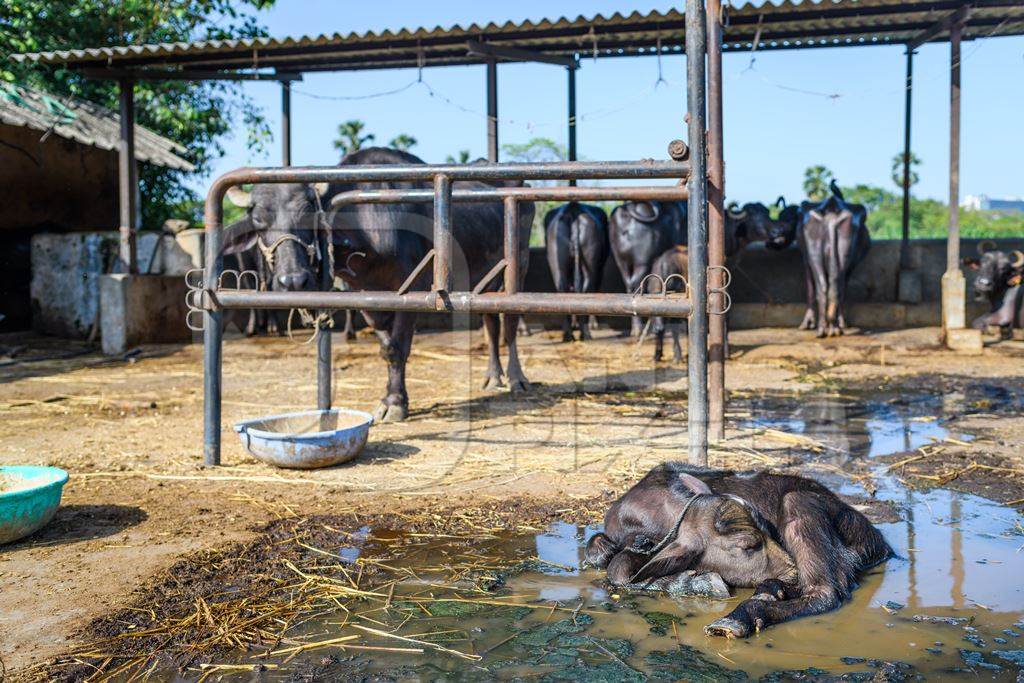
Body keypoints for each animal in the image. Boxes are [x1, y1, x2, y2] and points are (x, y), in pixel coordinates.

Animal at [544, 201, 606, 342]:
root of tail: (573, 209)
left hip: (557, 261)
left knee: (563, 289)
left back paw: (568, 335)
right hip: (591, 264)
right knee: (586, 289)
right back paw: (585, 334)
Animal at [589, 462, 892, 638]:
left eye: (768, 528)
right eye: (749, 544)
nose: (791, 569)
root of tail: (879, 541)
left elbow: (619, 569)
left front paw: (698, 582)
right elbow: (609, 559)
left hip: (799, 503)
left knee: (824, 592)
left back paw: (739, 617)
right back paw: (771, 590)